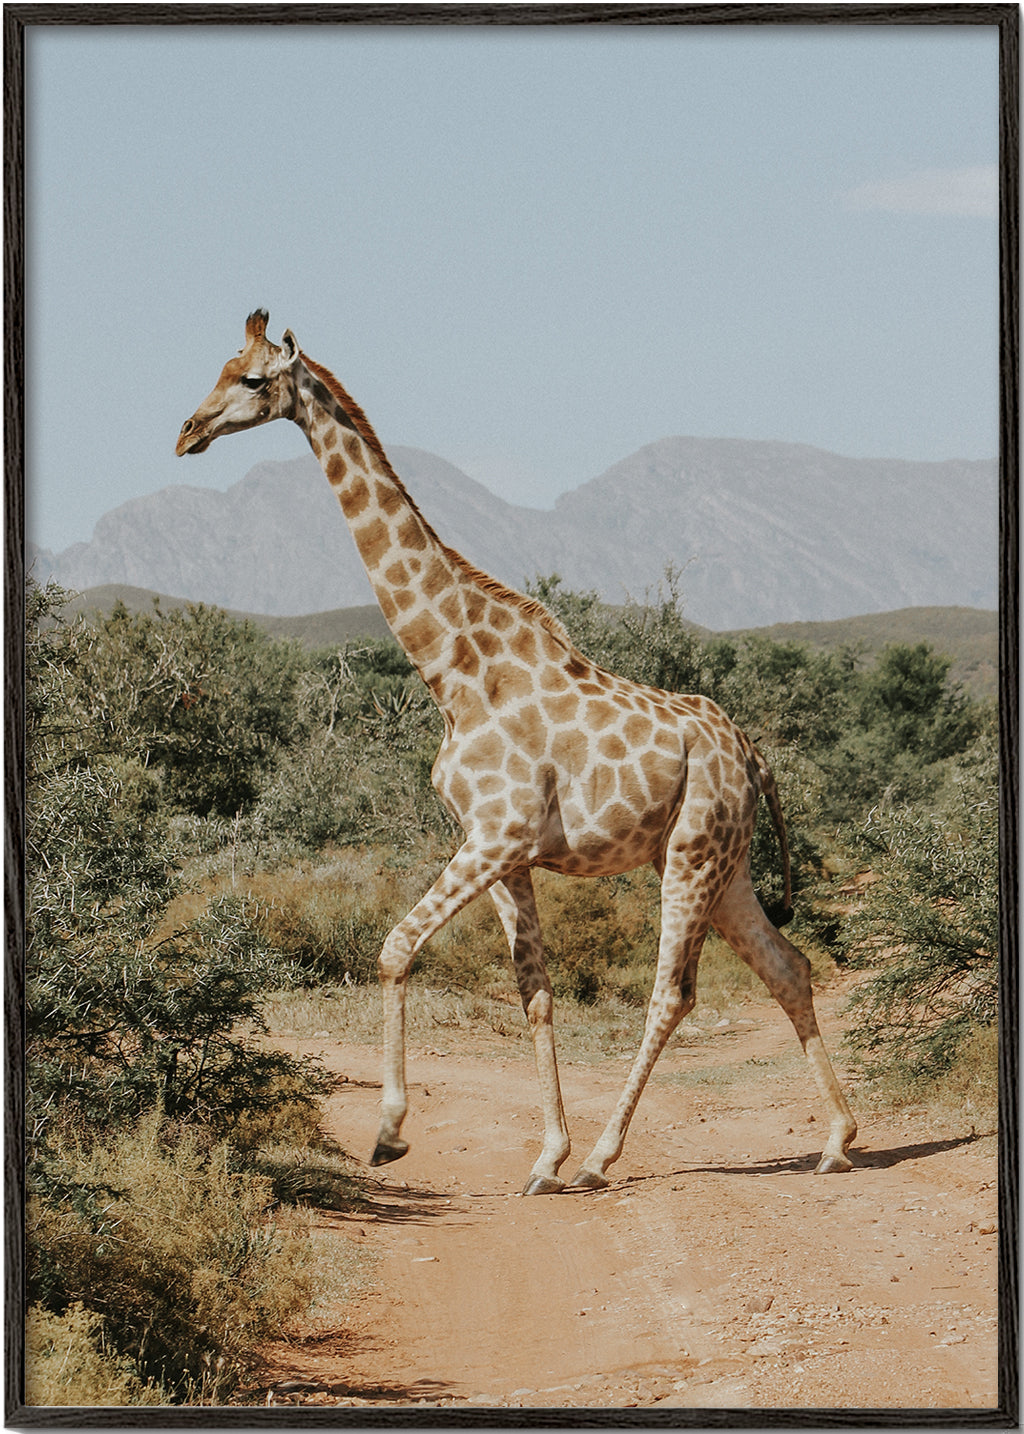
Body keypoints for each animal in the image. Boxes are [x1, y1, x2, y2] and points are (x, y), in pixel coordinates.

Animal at [177, 310, 857, 1193]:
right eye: (221, 368)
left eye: (255, 380)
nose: (188, 432)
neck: (453, 671)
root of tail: (750, 755)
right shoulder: (504, 853)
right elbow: (534, 991)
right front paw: (544, 1156)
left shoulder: (496, 836)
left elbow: (395, 948)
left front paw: (391, 1133)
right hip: (727, 861)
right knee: (789, 967)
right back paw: (837, 1139)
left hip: (692, 853)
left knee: (673, 993)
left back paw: (606, 1159)